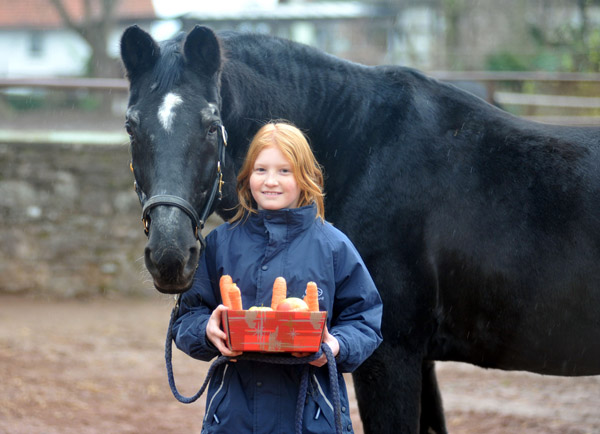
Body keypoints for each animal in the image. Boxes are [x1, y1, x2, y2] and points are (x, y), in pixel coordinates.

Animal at [119, 25, 596, 432]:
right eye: (131, 125)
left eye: (211, 124)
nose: (169, 256)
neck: (365, 151)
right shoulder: (421, 361)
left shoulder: (392, 356)